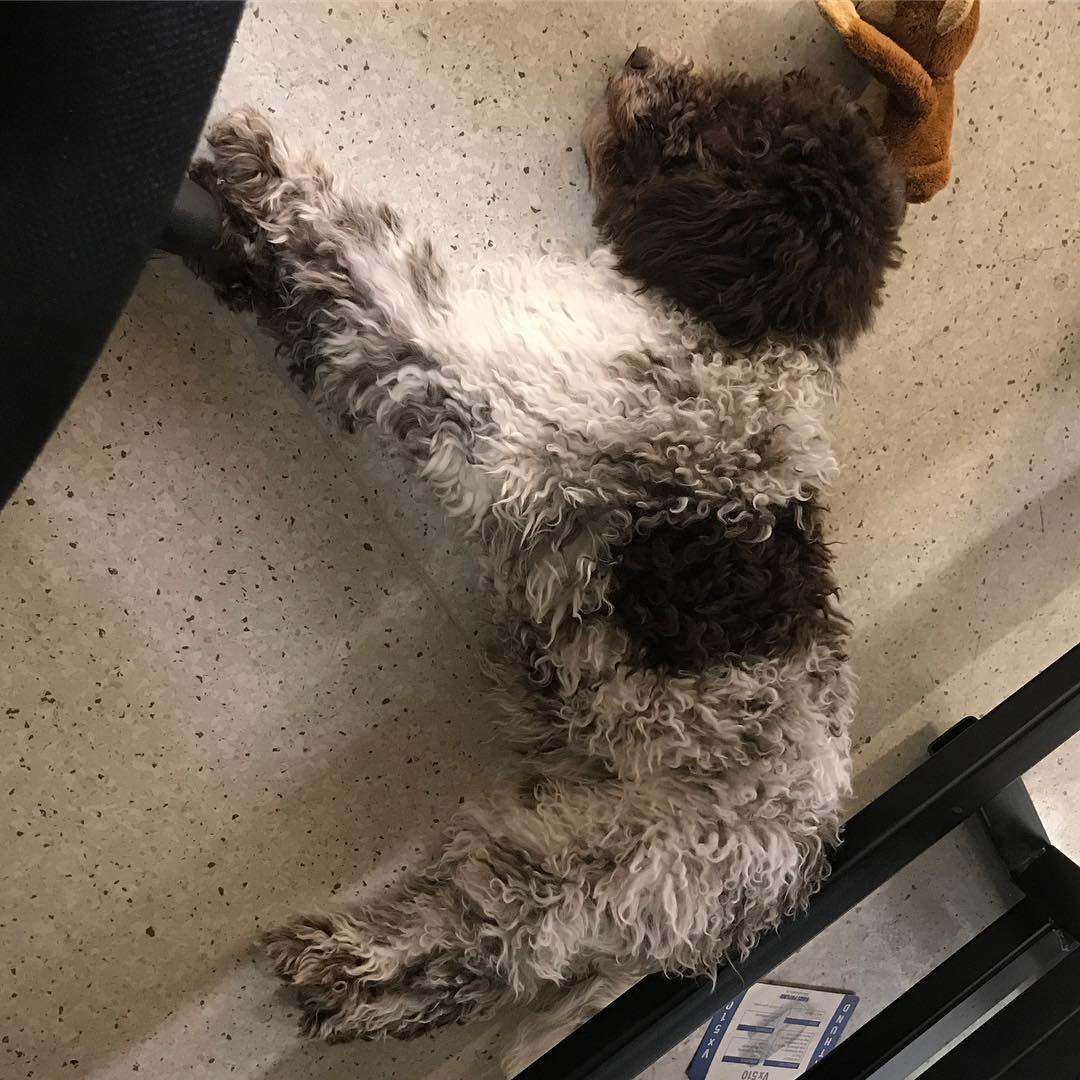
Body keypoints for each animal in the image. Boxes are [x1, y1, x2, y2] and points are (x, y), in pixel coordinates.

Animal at [189, 46, 904, 1056]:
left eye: (723, 121)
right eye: (744, 92)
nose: (637, 56)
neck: (734, 333)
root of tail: (785, 879)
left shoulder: (489, 393)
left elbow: (379, 274)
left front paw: (268, 171)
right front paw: (244, 255)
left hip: (598, 865)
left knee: (478, 937)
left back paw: (352, 966)